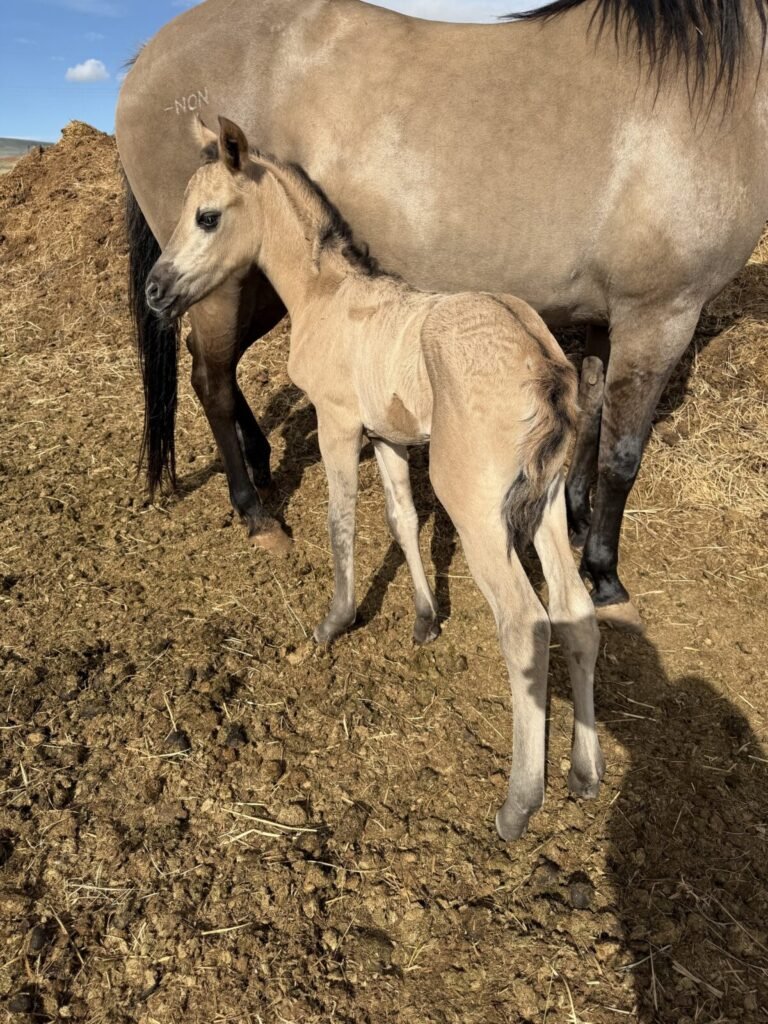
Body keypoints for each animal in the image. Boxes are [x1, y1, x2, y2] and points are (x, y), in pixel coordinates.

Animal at [116, 0, 768, 628]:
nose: (154, 289)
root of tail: (145, 58)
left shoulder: (609, 319)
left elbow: (591, 421)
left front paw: (577, 518)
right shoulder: (660, 316)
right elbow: (622, 455)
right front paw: (605, 576)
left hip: (249, 284)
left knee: (216, 370)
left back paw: (260, 461)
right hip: (217, 288)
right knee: (211, 378)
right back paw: (256, 516)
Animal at [144, 115, 606, 839]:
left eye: (207, 216)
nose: (155, 292)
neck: (327, 296)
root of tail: (543, 364)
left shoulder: (337, 422)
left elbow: (341, 519)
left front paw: (334, 621)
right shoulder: (388, 435)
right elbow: (401, 517)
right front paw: (423, 619)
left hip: (477, 506)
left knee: (526, 625)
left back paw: (518, 803)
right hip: (549, 500)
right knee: (577, 614)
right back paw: (584, 774)